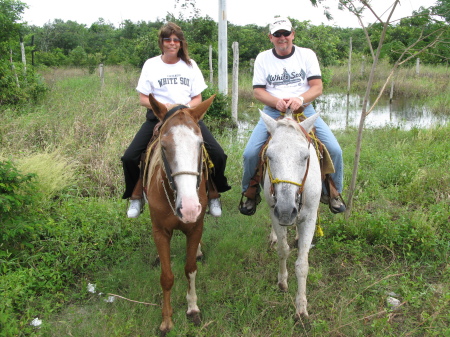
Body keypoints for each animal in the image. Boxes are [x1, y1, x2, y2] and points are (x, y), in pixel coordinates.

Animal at [143, 94, 215, 334]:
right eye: (163, 146)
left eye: (200, 144)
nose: (189, 208)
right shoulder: (160, 232)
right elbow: (166, 277)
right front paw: (166, 320)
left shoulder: (195, 228)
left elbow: (190, 268)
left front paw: (192, 309)